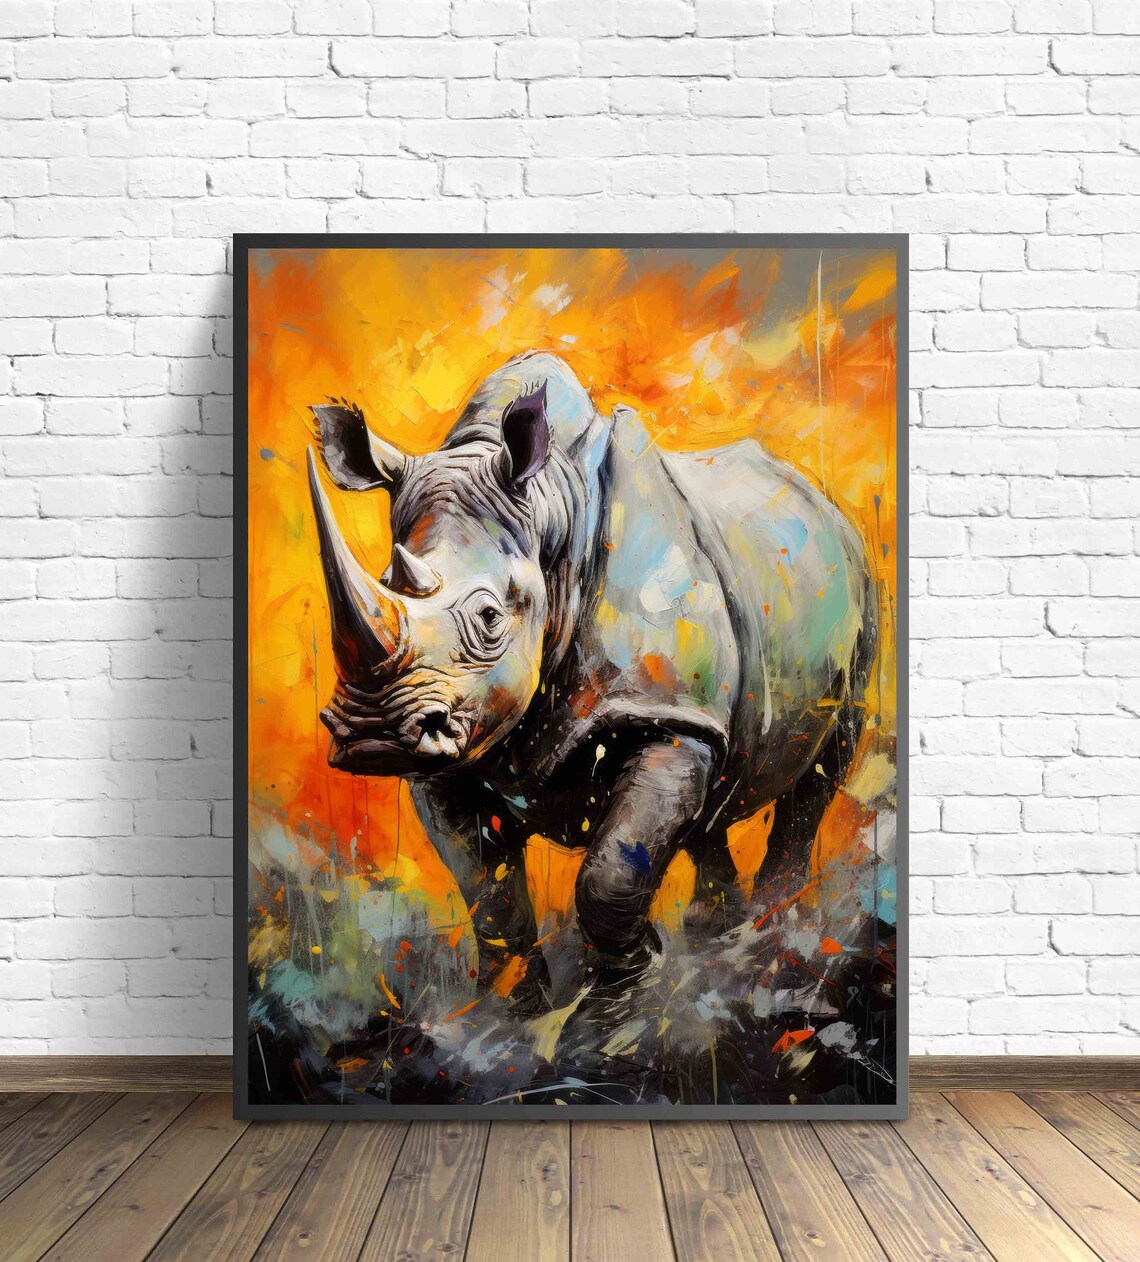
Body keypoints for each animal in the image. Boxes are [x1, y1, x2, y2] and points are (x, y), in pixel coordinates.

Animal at [307, 352, 876, 1011]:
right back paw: (717, 942)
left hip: (859, 582)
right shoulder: (452, 748)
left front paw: (627, 998)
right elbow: (489, 894)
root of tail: (820, 497)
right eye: (385, 581)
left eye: (490, 618)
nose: (373, 735)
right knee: (712, 795)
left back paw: (772, 945)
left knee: (822, 768)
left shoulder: (664, 709)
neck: (552, 510)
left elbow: (611, 873)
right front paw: (504, 1015)